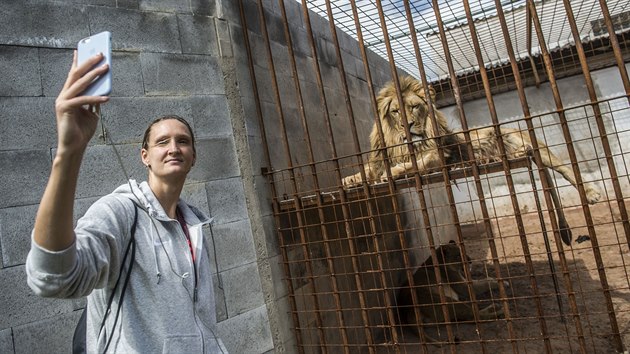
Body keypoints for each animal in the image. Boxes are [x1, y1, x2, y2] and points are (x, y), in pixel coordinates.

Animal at [344, 76, 604, 206]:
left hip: (534, 145)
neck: (402, 144)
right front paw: (350, 179)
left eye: (415, 107)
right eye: (396, 111)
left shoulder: (441, 155)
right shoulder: (380, 159)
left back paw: (592, 193)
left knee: (568, 170)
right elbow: (367, 171)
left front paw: (397, 170)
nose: (407, 126)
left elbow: (420, 162)